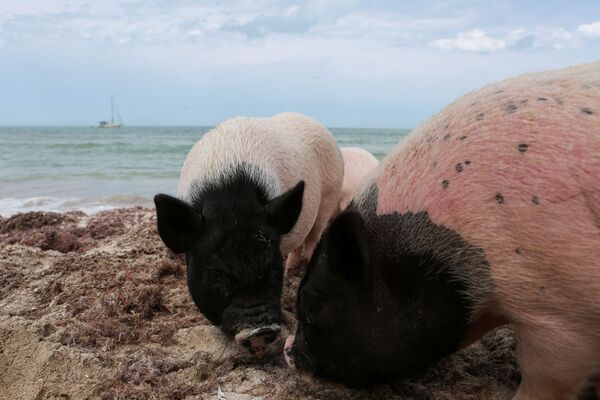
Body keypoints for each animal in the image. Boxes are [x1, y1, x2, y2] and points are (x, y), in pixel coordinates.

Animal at [154, 111, 342, 354]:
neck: (230, 196)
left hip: (329, 198)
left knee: (313, 236)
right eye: (217, 277)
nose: (260, 331)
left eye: (273, 270)